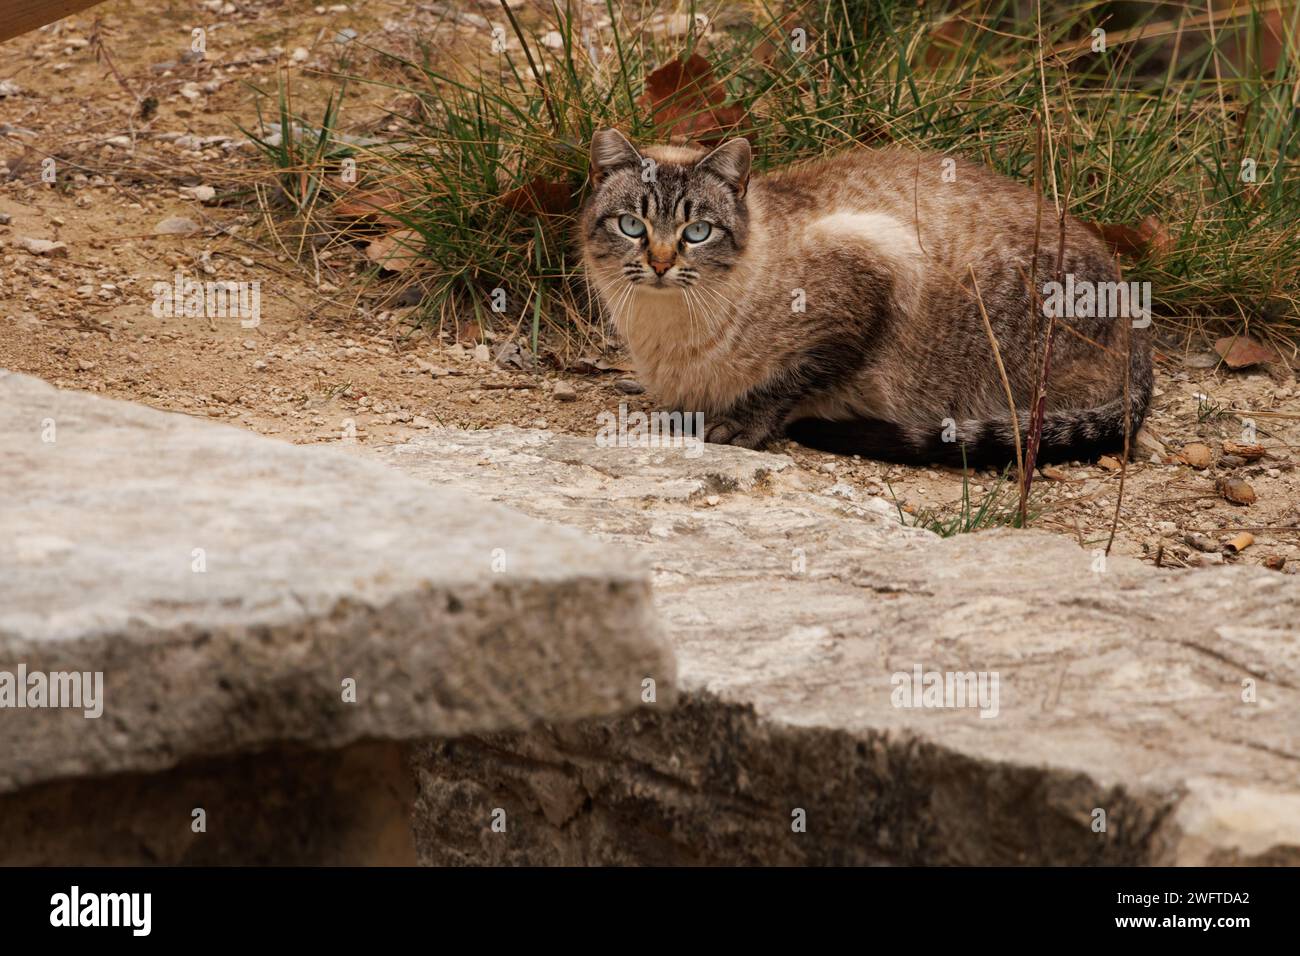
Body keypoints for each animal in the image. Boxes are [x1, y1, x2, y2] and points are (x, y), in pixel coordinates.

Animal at [585, 128, 1154, 468]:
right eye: (632, 226)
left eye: (697, 232)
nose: (660, 264)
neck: (666, 335)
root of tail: (1135, 316)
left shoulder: (873, 283)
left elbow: (789, 382)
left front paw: (741, 424)